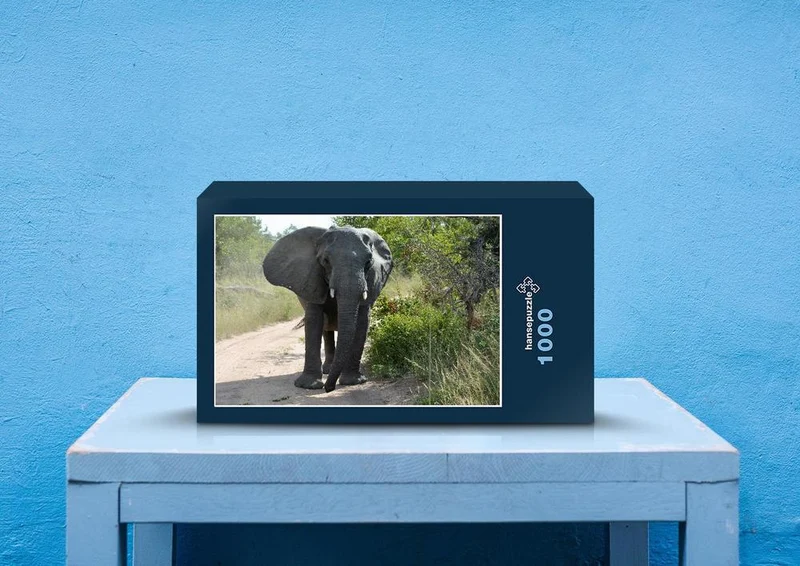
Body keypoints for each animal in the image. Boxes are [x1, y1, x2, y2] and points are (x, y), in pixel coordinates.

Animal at [262, 225, 393, 392]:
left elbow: (362, 322)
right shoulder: (311, 281)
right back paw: (328, 370)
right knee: (326, 329)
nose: (329, 389)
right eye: (325, 261)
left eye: (369, 262)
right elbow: (314, 320)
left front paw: (353, 382)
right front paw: (308, 386)